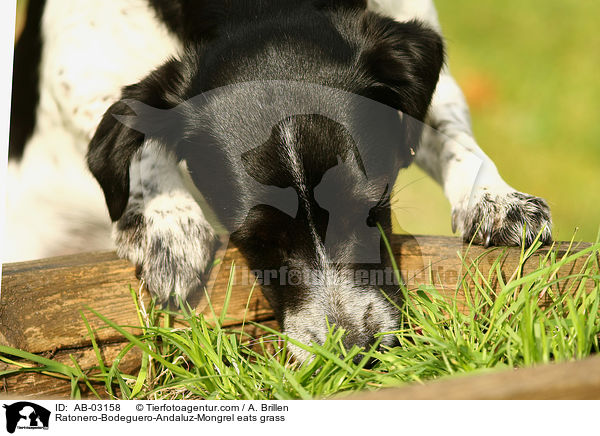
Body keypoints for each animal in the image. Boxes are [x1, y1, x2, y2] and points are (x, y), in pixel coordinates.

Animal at [5, 0, 552, 362]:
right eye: (255, 241)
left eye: (372, 209)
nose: (351, 351)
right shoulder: (77, 72)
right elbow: (136, 137)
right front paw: (167, 227)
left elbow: (450, 130)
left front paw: (494, 199)